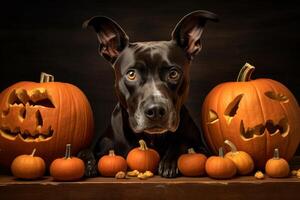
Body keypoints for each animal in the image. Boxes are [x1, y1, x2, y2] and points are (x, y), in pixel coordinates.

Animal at [79, 10, 218, 177]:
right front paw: (87, 162)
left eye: (173, 74)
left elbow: (186, 145)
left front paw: (170, 159)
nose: (156, 110)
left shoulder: (202, 148)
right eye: (131, 74)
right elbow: (85, 151)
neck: (152, 139)